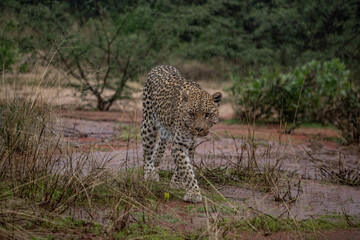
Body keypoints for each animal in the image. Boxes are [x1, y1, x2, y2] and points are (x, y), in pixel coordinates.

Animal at [141, 64, 222, 202]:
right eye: (191, 114)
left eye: (208, 114)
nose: (199, 129)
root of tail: (161, 65)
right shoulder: (179, 144)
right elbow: (186, 169)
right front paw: (193, 193)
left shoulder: (190, 143)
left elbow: (183, 165)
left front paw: (176, 182)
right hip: (149, 124)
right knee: (148, 150)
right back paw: (149, 173)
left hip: (165, 126)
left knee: (162, 140)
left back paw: (156, 162)